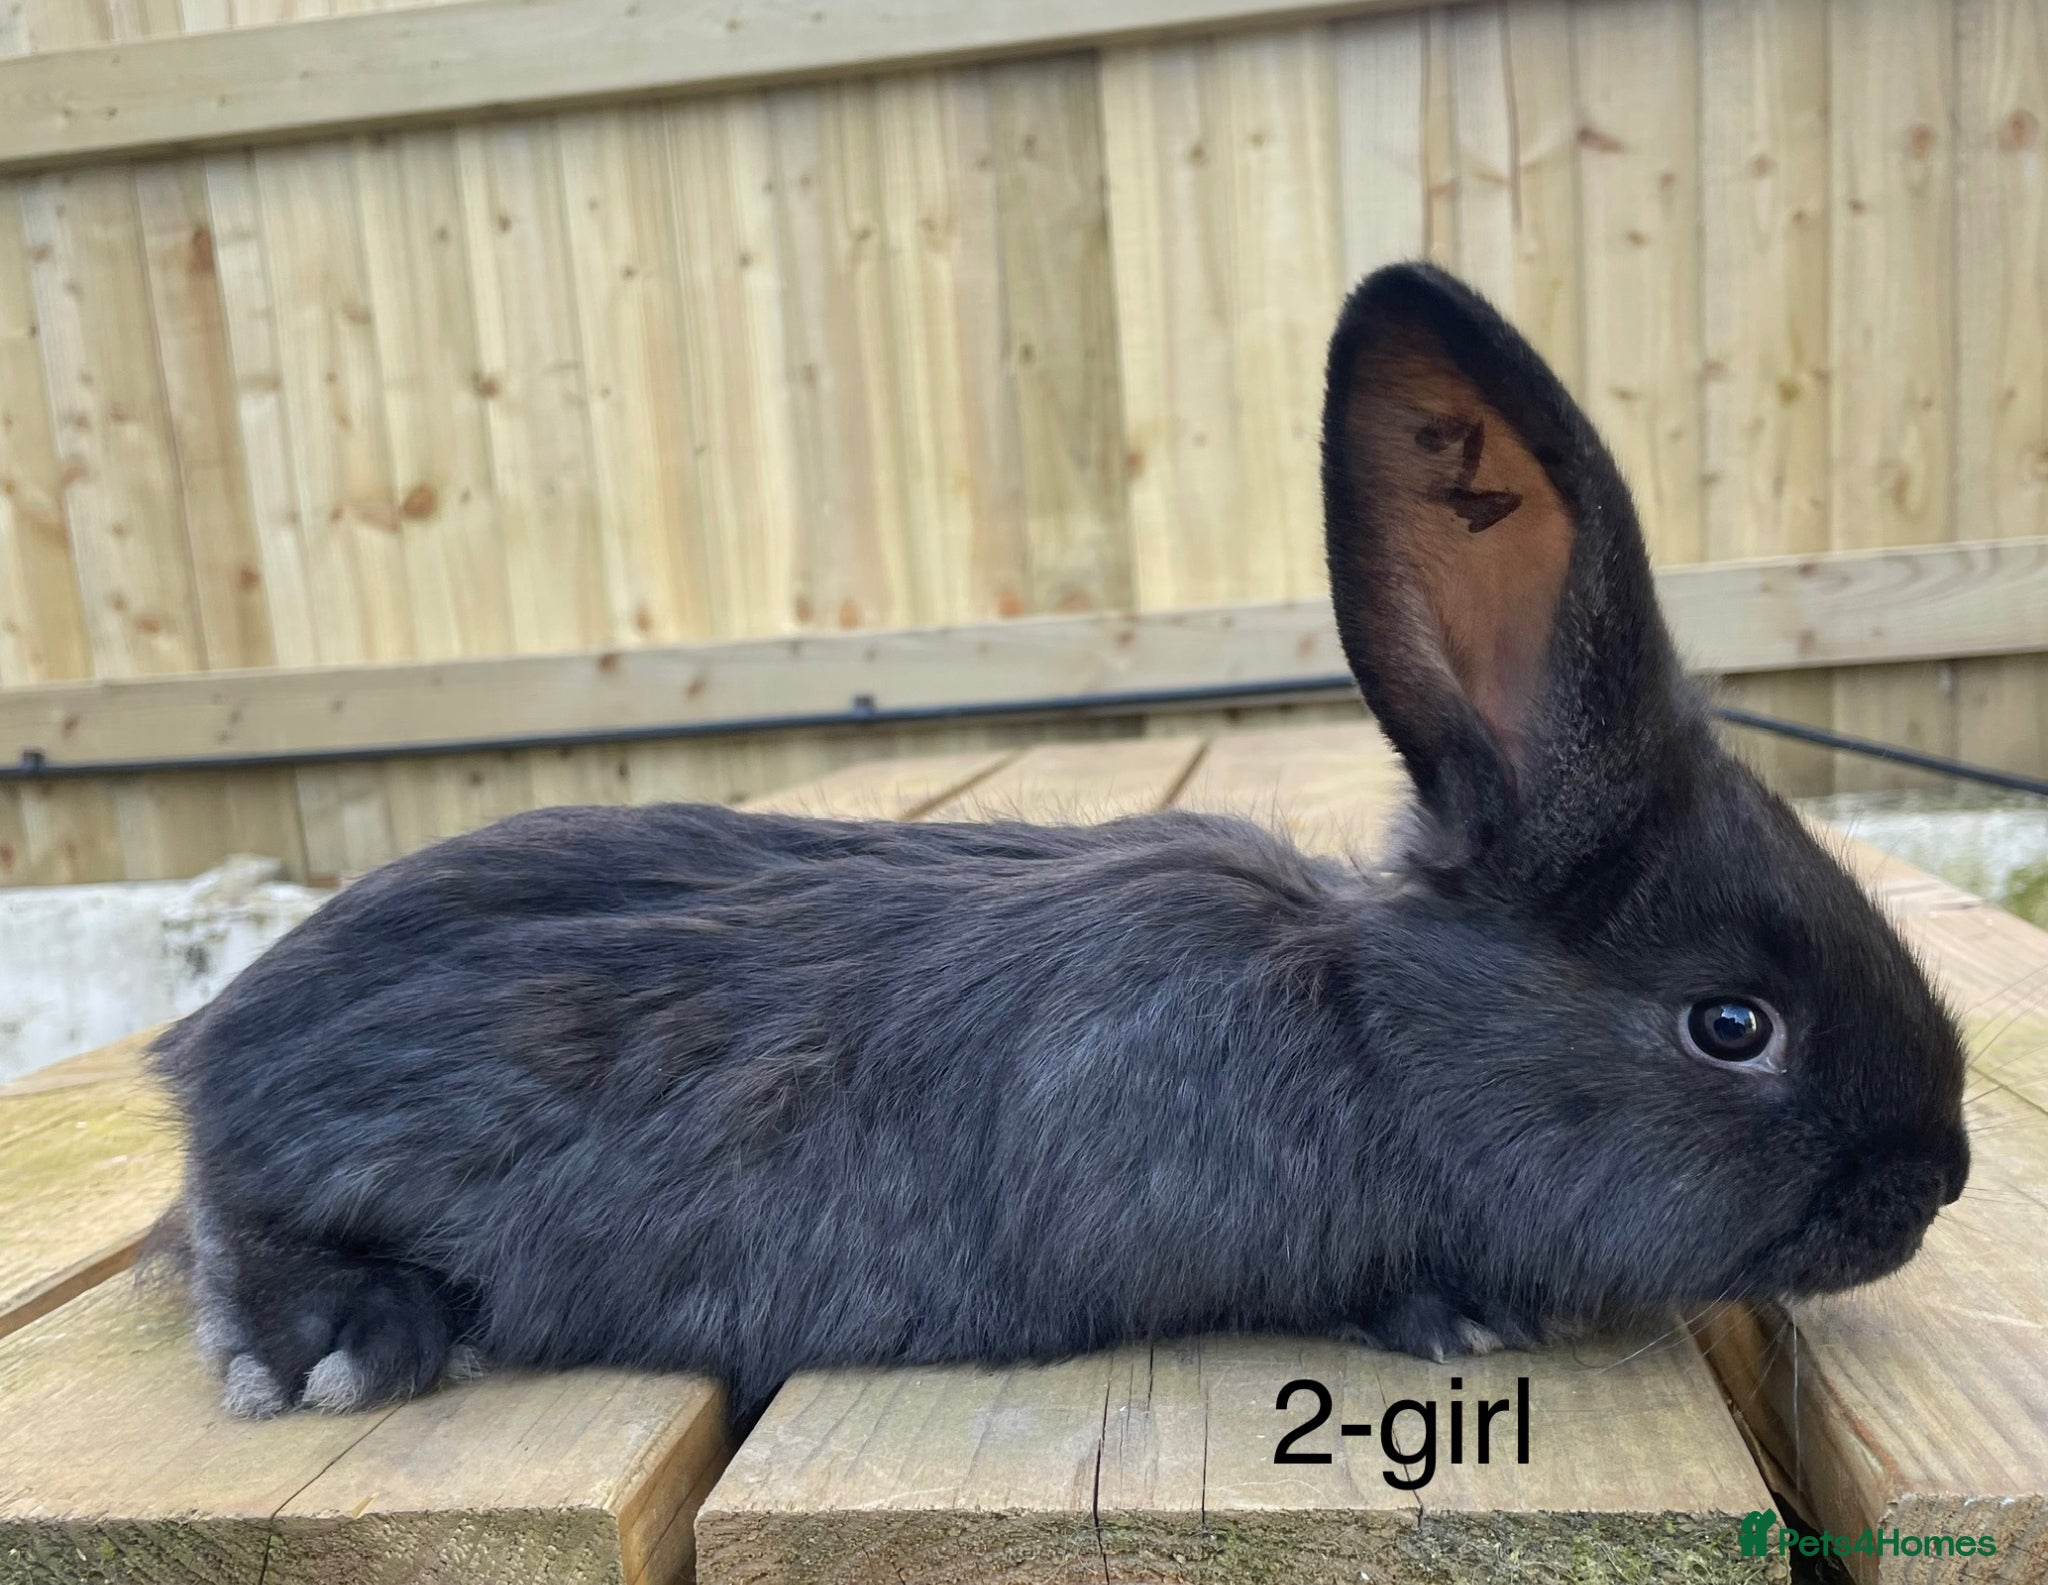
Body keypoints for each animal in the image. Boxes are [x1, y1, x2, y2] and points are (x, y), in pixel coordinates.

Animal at [152, 263, 1969, 1428]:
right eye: (1730, 1025)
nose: (1936, 1181)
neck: (1372, 1035)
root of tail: (207, 1044)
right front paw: (1453, 1317)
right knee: (233, 1230)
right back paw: (332, 1348)